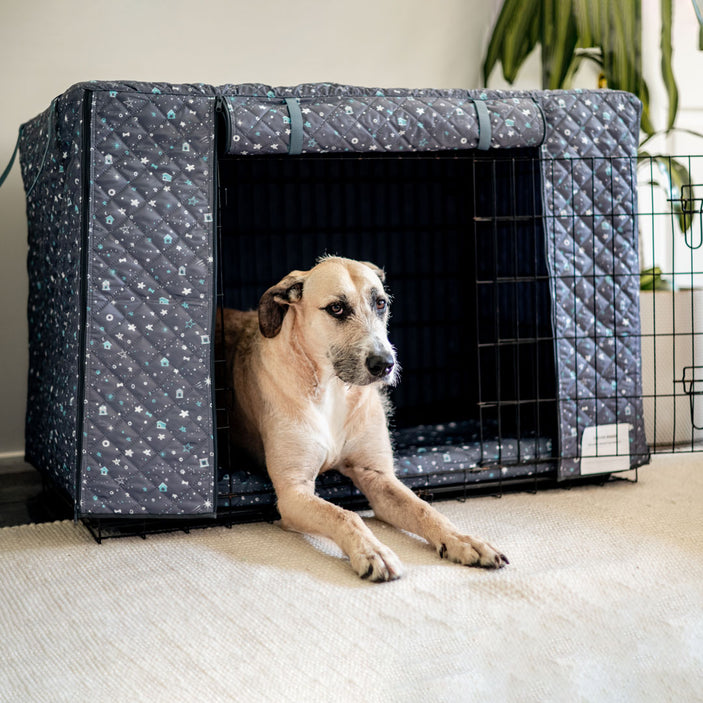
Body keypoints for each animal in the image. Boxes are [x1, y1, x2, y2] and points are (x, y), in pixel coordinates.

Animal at [217, 256, 508, 580]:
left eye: (380, 303)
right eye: (336, 308)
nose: (385, 364)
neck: (332, 388)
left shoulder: (377, 475)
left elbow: (423, 508)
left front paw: (463, 540)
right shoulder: (293, 492)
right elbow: (344, 515)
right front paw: (372, 551)